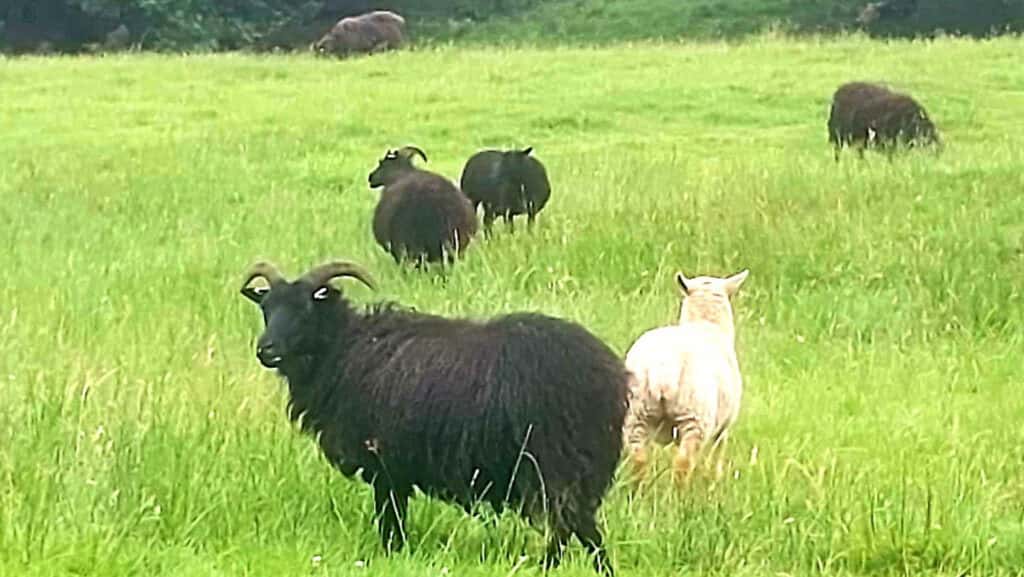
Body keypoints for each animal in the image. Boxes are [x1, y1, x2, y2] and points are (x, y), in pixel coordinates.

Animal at [239, 260, 629, 575]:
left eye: (306, 308)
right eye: (266, 309)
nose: (265, 350)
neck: (343, 348)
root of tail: (608, 377)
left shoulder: (387, 468)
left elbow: (391, 525)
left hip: (555, 463)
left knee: (570, 525)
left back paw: (547, 567)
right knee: (580, 527)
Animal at [622, 269, 749, 485]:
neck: (706, 324)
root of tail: (663, 366)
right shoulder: (724, 426)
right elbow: (717, 453)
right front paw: (714, 480)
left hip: (636, 415)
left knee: (639, 460)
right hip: (694, 418)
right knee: (683, 463)